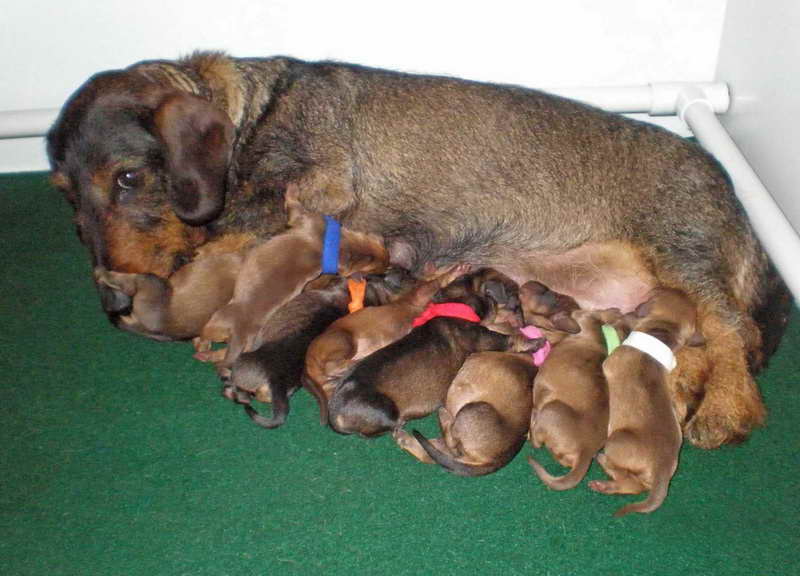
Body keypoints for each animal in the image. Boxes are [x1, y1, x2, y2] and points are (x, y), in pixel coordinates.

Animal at [588, 288, 708, 516]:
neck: (659, 335)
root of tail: (661, 468)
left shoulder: (610, 361)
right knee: (633, 485)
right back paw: (605, 485)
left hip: (615, 441)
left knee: (623, 476)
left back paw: (602, 463)